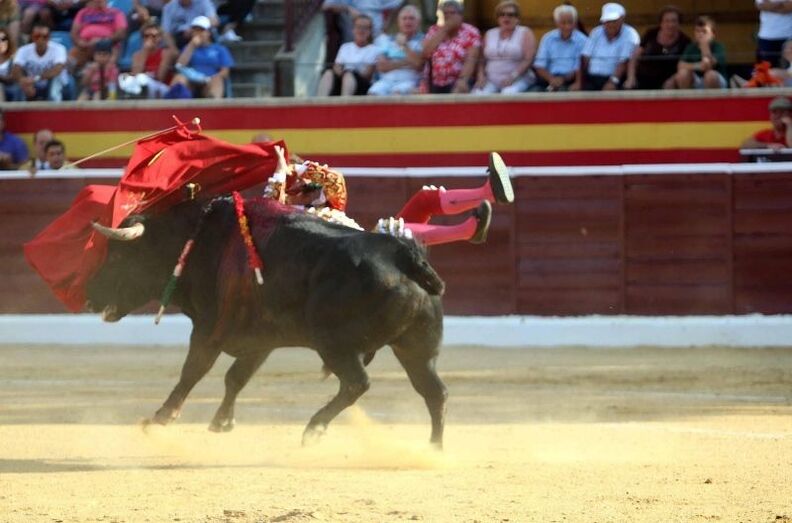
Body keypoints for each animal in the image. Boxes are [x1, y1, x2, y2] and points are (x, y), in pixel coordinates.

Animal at [86, 196, 449, 448]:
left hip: (334, 343)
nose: (90, 298)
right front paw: (222, 422)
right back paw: (434, 449)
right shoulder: (260, 339)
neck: (198, 241)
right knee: (434, 391)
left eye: (118, 256)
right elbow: (236, 377)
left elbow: (193, 372)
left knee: (357, 383)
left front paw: (159, 419)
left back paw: (313, 430)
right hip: (416, 347)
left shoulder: (207, 329)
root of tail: (403, 255)